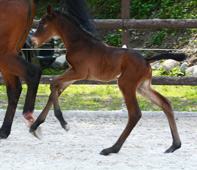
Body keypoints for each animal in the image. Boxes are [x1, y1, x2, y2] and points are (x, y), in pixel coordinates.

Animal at [29, 4, 186, 155]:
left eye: (42, 23)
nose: (31, 42)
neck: (79, 43)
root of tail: (146, 59)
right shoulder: (74, 74)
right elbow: (55, 90)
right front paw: (34, 126)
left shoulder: (78, 72)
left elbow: (53, 83)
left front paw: (63, 122)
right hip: (143, 87)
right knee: (165, 103)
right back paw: (174, 146)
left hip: (126, 84)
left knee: (135, 114)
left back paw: (111, 149)